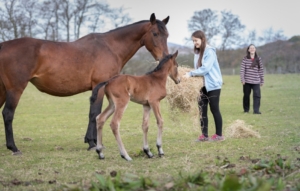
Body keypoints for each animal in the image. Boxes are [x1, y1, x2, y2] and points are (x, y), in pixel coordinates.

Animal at [0, 13, 169, 154]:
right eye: (155, 34)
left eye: (167, 35)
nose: (165, 57)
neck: (111, 47)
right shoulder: (99, 86)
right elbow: (94, 113)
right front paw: (93, 143)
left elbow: (95, 113)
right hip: (15, 89)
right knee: (8, 113)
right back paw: (14, 148)